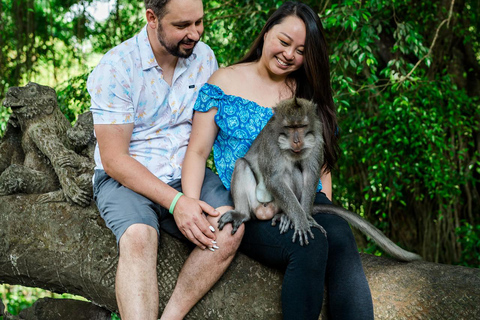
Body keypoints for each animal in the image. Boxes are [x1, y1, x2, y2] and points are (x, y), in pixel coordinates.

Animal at [219, 98, 422, 262]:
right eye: (290, 128)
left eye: (301, 127)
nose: (296, 141)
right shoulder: (270, 141)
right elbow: (274, 178)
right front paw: (301, 220)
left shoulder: (317, 137)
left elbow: (310, 173)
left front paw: (305, 219)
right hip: (257, 205)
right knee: (242, 164)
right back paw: (243, 214)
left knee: (295, 170)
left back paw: (286, 216)